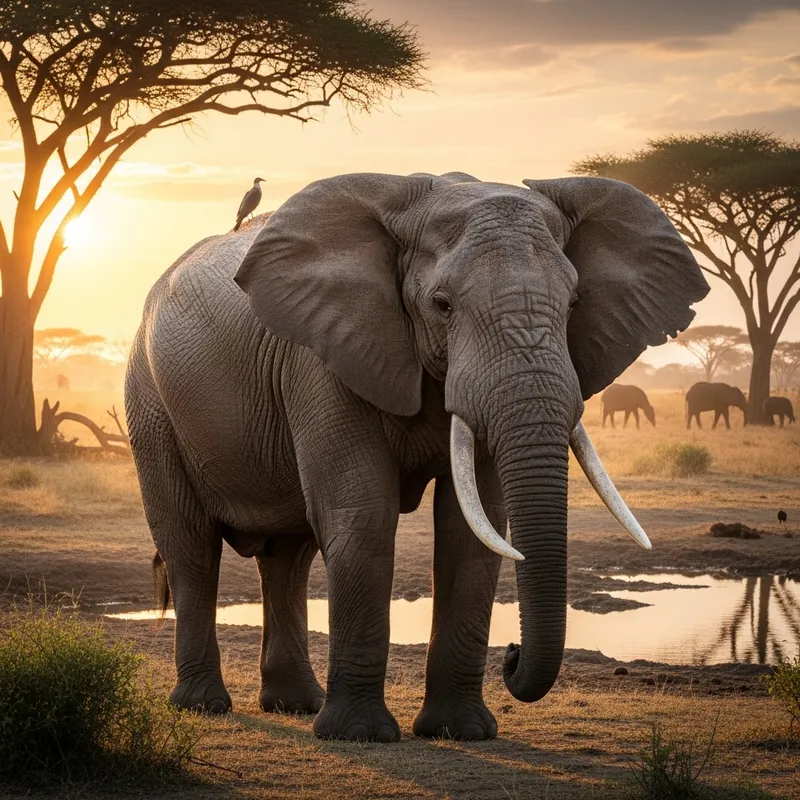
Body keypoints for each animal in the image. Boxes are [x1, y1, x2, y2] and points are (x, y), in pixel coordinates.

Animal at [125, 171, 708, 743]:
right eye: (442, 305)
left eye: (573, 306)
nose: (511, 655)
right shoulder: (323, 357)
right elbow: (362, 514)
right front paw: (359, 736)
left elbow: (472, 527)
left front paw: (461, 732)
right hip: (150, 403)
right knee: (191, 546)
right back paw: (204, 707)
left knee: (289, 557)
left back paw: (294, 705)